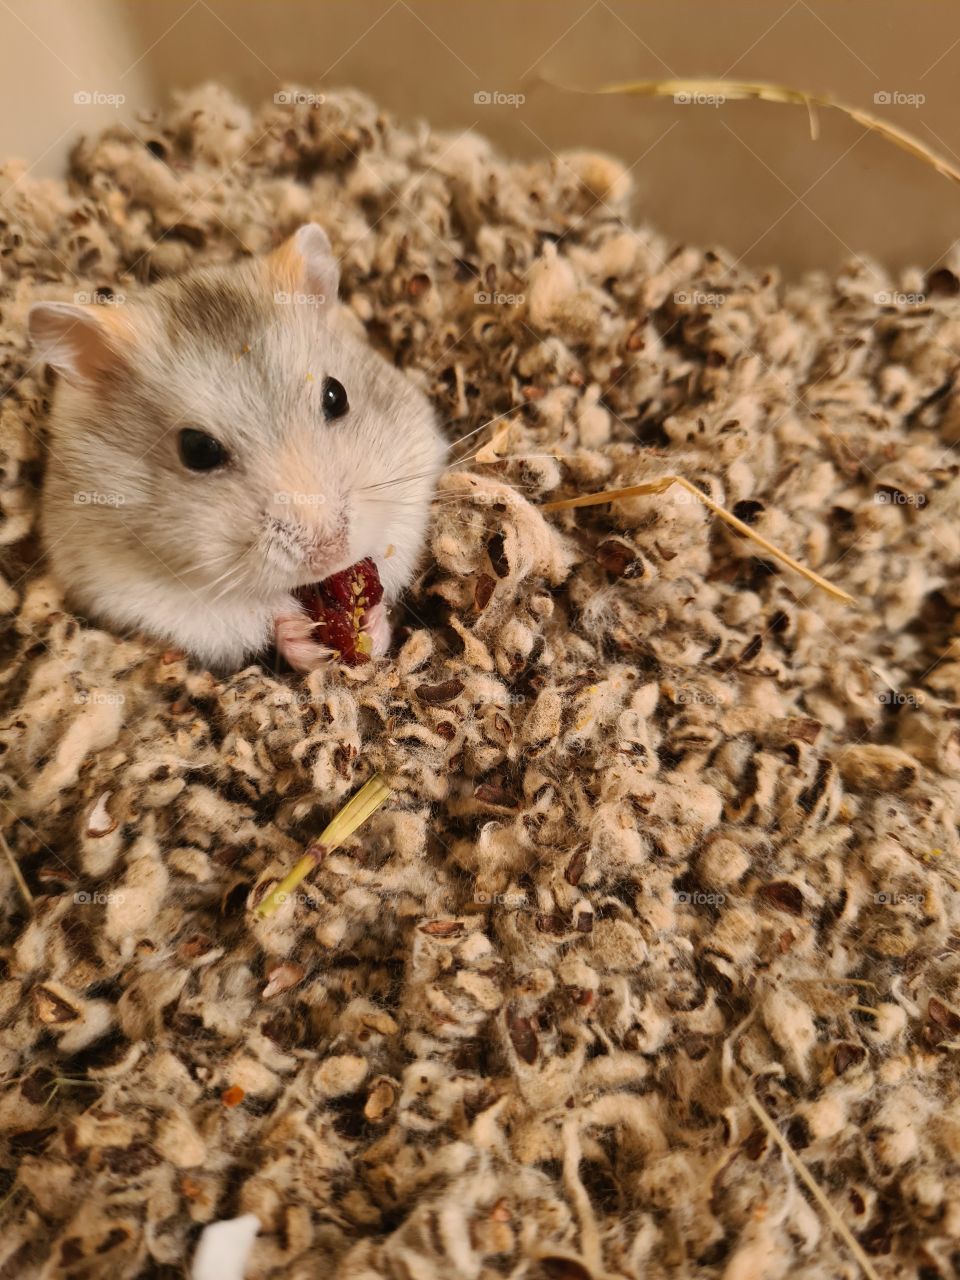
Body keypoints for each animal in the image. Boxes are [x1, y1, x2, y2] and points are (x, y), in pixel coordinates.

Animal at [28, 224, 447, 672]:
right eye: (197, 450)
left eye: (337, 395)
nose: (331, 555)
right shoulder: (133, 590)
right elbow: (250, 613)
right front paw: (308, 644)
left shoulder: (411, 478)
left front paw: (373, 625)